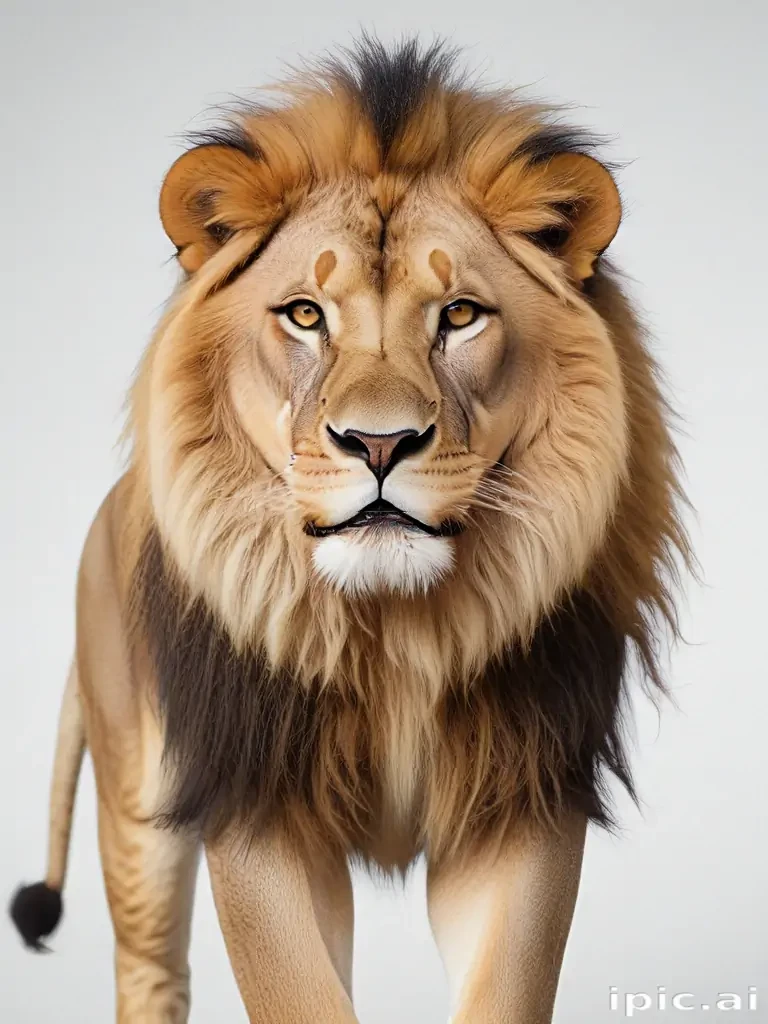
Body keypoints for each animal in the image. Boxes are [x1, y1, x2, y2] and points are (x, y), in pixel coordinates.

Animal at [9, 36, 688, 1024]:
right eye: (304, 314)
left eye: (458, 315)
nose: (379, 443)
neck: (394, 633)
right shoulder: (251, 797)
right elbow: (296, 992)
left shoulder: (522, 796)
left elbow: (505, 987)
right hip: (138, 808)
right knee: (149, 968)